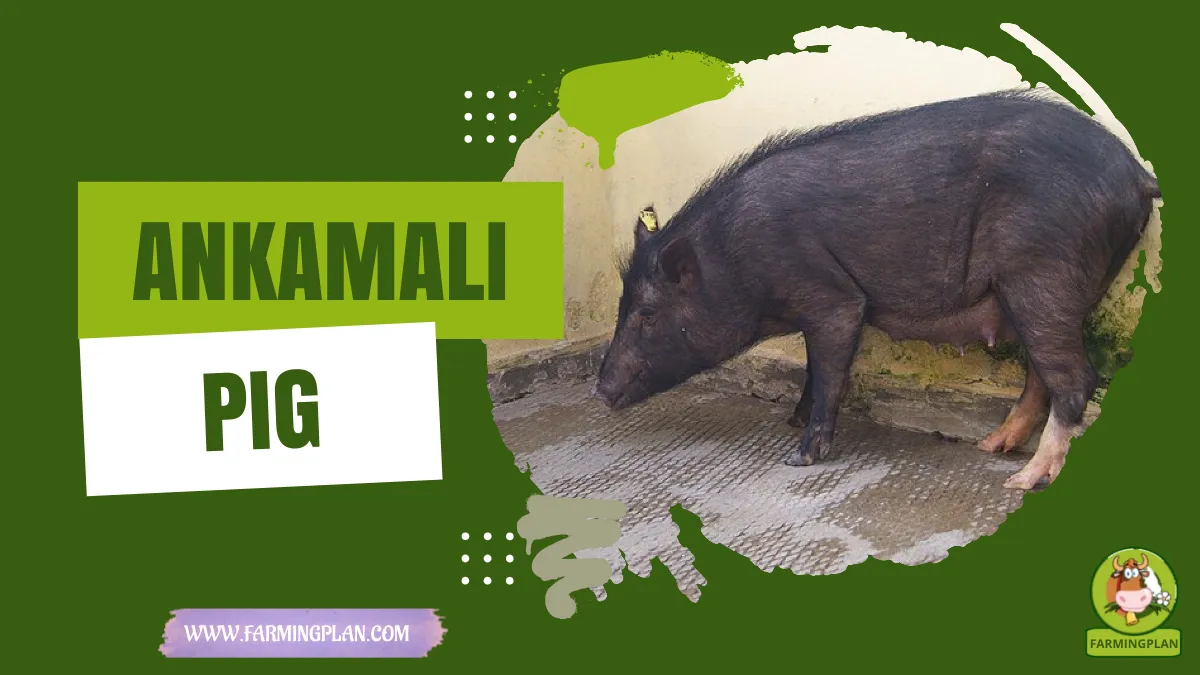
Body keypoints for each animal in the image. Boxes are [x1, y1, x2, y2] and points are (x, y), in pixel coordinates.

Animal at [593, 88, 1161, 491]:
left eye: (647, 313)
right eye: (622, 306)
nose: (598, 389)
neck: (733, 258)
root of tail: (1137, 173)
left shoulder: (834, 298)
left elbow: (828, 371)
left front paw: (798, 454)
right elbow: (811, 365)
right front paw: (789, 419)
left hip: (1043, 275)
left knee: (1076, 378)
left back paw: (1023, 481)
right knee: (1042, 377)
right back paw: (990, 447)